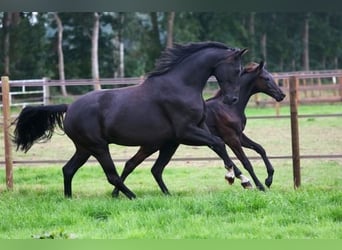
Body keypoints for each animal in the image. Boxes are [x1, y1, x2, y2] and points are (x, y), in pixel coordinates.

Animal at [12, 42, 247, 199]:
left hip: (84, 148)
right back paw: (132, 197)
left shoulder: (197, 128)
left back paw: (69, 198)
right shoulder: (186, 132)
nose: (232, 99)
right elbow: (218, 143)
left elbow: (218, 146)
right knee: (112, 175)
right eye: (237, 69)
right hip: (98, 147)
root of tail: (69, 108)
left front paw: (242, 178)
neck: (182, 85)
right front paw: (234, 177)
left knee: (68, 169)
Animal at [113, 61, 286, 196]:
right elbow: (245, 161)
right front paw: (259, 185)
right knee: (133, 164)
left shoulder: (239, 136)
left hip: (166, 146)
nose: (282, 95)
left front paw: (268, 179)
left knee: (145, 167)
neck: (229, 107)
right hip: (152, 145)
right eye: (266, 78)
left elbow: (260, 148)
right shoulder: (231, 137)